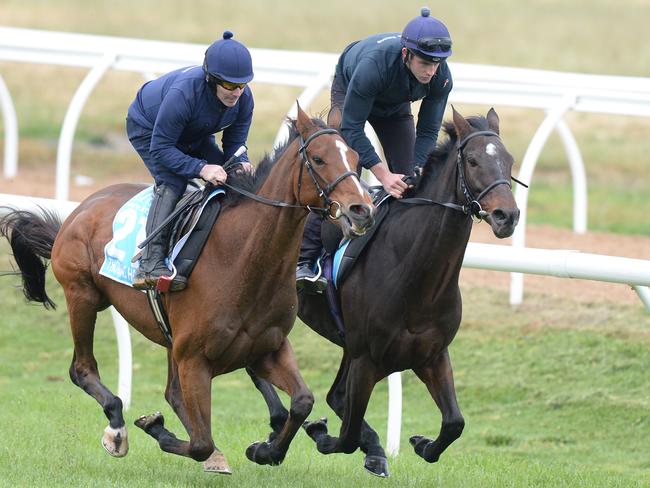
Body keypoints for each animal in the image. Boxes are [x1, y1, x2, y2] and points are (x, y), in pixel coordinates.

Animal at [0, 106, 372, 472]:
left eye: (356, 159)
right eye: (319, 159)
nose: (362, 210)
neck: (242, 258)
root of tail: (79, 210)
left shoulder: (267, 348)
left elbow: (301, 402)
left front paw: (267, 450)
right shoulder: (195, 358)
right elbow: (200, 442)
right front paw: (157, 428)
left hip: (167, 336)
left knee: (172, 393)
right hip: (83, 296)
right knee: (82, 369)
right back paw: (117, 428)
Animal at [246, 107, 520, 476]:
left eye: (509, 160)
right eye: (474, 161)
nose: (508, 215)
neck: (419, 279)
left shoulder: (432, 354)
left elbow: (454, 423)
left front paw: (421, 443)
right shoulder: (366, 358)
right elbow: (346, 435)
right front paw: (318, 435)